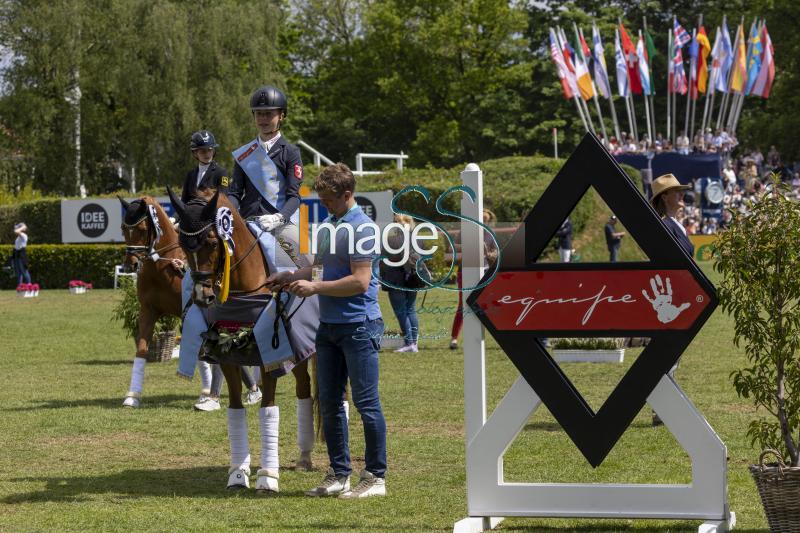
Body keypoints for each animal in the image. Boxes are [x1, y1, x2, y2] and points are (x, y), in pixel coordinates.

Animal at [168, 185, 318, 492]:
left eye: (213, 242)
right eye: (183, 244)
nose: (202, 296)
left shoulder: (269, 357)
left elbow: (268, 409)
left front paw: (268, 476)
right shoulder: (227, 354)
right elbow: (235, 409)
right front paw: (238, 473)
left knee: (305, 390)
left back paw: (305, 456)